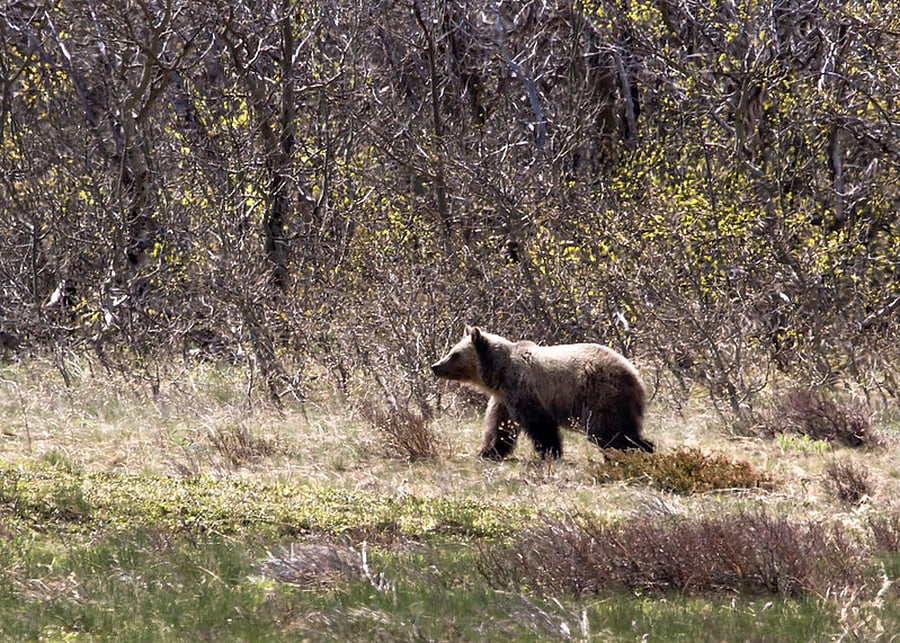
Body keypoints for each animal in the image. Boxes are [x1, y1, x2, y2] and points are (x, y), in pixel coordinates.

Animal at [431, 326, 653, 460]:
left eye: (454, 354)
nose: (435, 366)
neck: (498, 374)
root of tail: (634, 375)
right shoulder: (503, 398)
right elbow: (499, 426)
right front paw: (488, 452)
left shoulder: (524, 390)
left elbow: (540, 426)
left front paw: (550, 453)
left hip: (600, 395)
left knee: (607, 431)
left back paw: (630, 453)